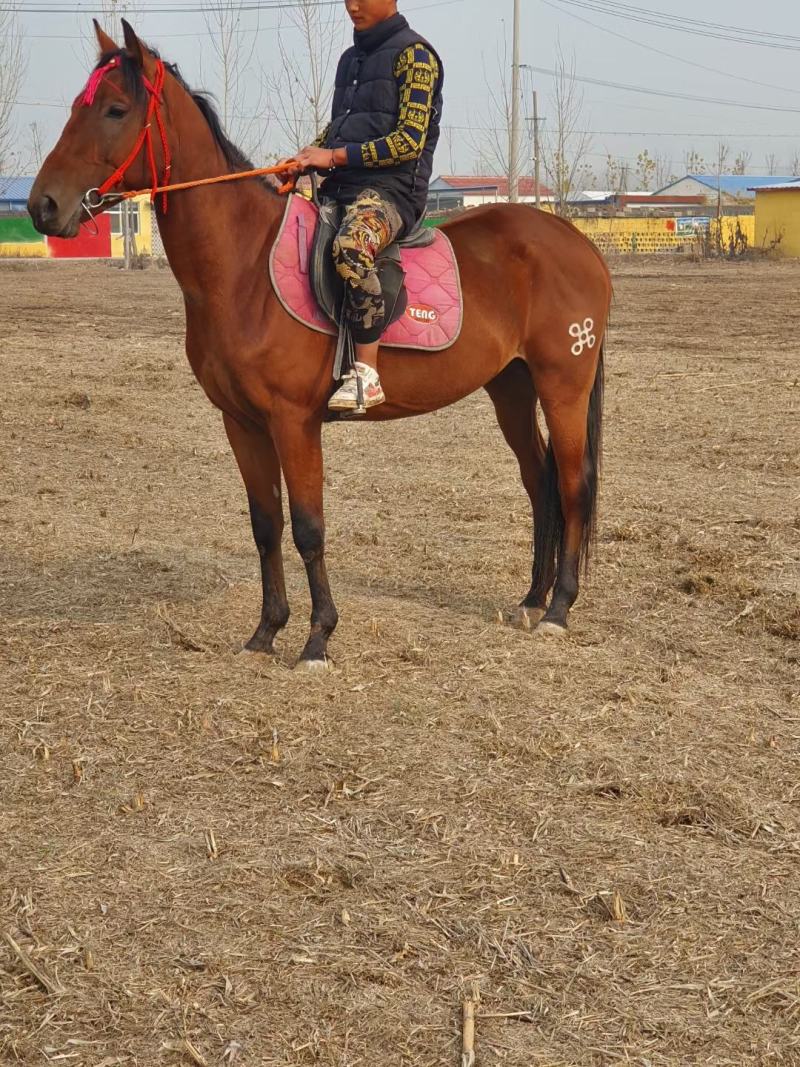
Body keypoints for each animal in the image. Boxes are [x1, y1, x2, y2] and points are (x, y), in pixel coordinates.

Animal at [28, 21, 611, 669]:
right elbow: (265, 525)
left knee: (572, 484)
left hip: (563, 386)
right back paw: (532, 600)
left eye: (114, 109)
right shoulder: (242, 422)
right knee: (539, 484)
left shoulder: (293, 421)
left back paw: (559, 608)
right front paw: (265, 631)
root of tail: (573, 240)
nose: (42, 205)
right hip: (510, 386)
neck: (244, 265)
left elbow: (308, 526)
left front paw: (317, 639)